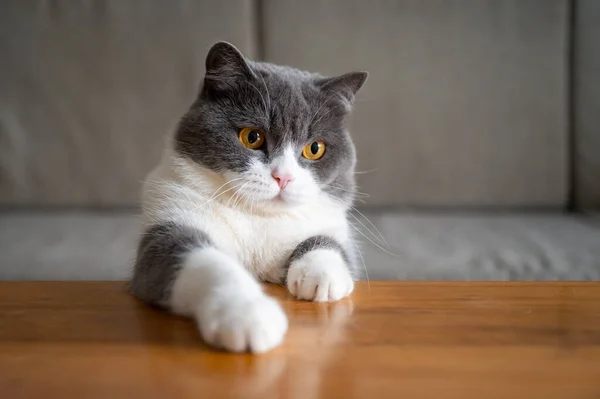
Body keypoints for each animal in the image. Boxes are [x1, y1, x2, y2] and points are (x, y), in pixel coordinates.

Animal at [131, 41, 366, 354]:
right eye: (251, 137)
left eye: (314, 148)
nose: (283, 177)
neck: (257, 218)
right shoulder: (168, 223)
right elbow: (206, 262)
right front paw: (247, 316)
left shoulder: (331, 224)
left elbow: (329, 241)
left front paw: (321, 276)